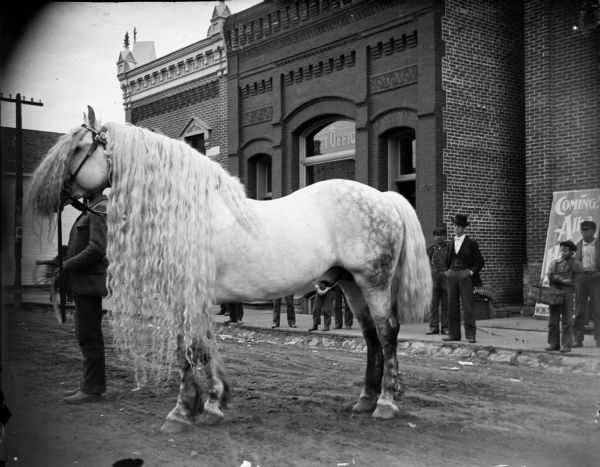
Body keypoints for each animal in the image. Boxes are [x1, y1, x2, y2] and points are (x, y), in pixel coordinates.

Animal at [29, 107, 432, 436]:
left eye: (79, 147)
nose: (42, 196)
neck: (188, 207)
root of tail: (383, 197)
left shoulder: (187, 293)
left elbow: (190, 349)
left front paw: (182, 411)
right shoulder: (192, 295)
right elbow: (200, 347)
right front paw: (212, 402)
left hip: (373, 282)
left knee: (387, 332)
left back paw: (386, 403)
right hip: (350, 284)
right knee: (370, 336)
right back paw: (365, 399)